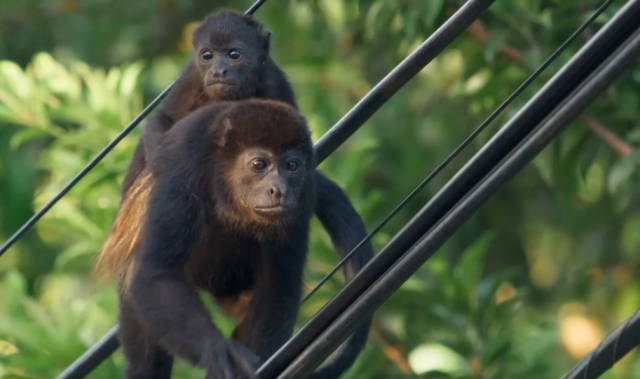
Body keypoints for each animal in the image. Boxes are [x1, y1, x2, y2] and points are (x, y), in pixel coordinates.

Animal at [97, 8, 372, 379]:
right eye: (258, 164)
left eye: (292, 166)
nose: (278, 189)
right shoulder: (184, 167)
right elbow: (157, 275)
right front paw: (218, 351)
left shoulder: (301, 182)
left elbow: (278, 290)